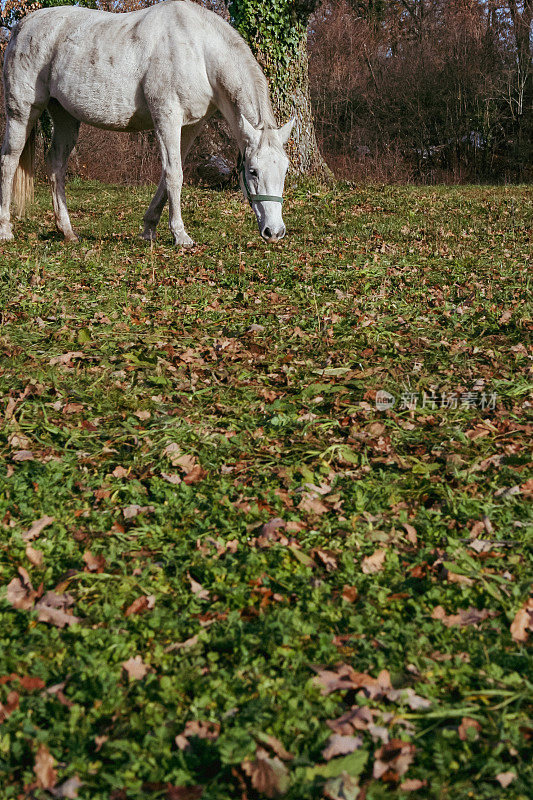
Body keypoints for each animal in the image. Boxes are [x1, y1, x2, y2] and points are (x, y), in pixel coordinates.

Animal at [0, 0, 294, 244]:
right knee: (9, 161)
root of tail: (22, 26)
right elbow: (174, 174)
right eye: (253, 171)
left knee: (56, 166)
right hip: (22, 112)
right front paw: (180, 236)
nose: (275, 232)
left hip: (65, 117)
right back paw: (6, 231)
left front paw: (149, 229)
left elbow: (169, 175)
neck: (199, 50)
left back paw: (68, 232)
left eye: (284, 170)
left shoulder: (190, 126)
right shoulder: (166, 117)